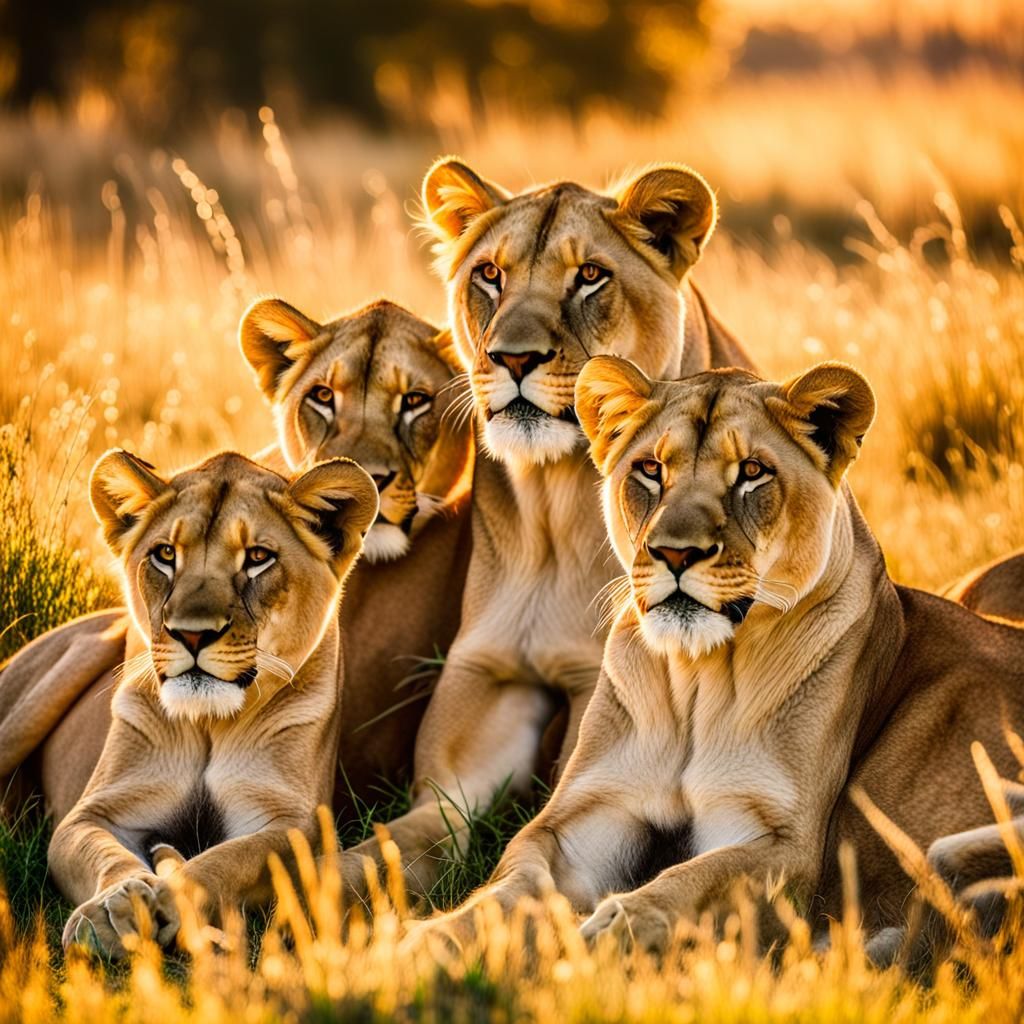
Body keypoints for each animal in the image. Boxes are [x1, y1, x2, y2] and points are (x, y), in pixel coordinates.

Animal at [50, 448, 378, 958]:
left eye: (258, 558)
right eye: (165, 555)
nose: (191, 634)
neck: (208, 723)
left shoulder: (295, 822)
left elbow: (229, 859)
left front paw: (166, 899)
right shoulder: (96, 812)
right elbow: (99, 853)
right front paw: (109, 908)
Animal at [337, 159, 754, 902]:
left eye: (589, 275)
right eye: (489, 274)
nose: (514, 359)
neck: (550, 520)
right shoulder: (456, 770)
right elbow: (367, 855)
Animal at [404, 356, 1024, 961]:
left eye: (752, 472)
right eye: (650, 470)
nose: (676, 554)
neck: (696, 683)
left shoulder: (781, 844)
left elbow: (693, 882)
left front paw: (615, 929)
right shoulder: (581, 823)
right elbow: (508, 888)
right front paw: (426, 942)